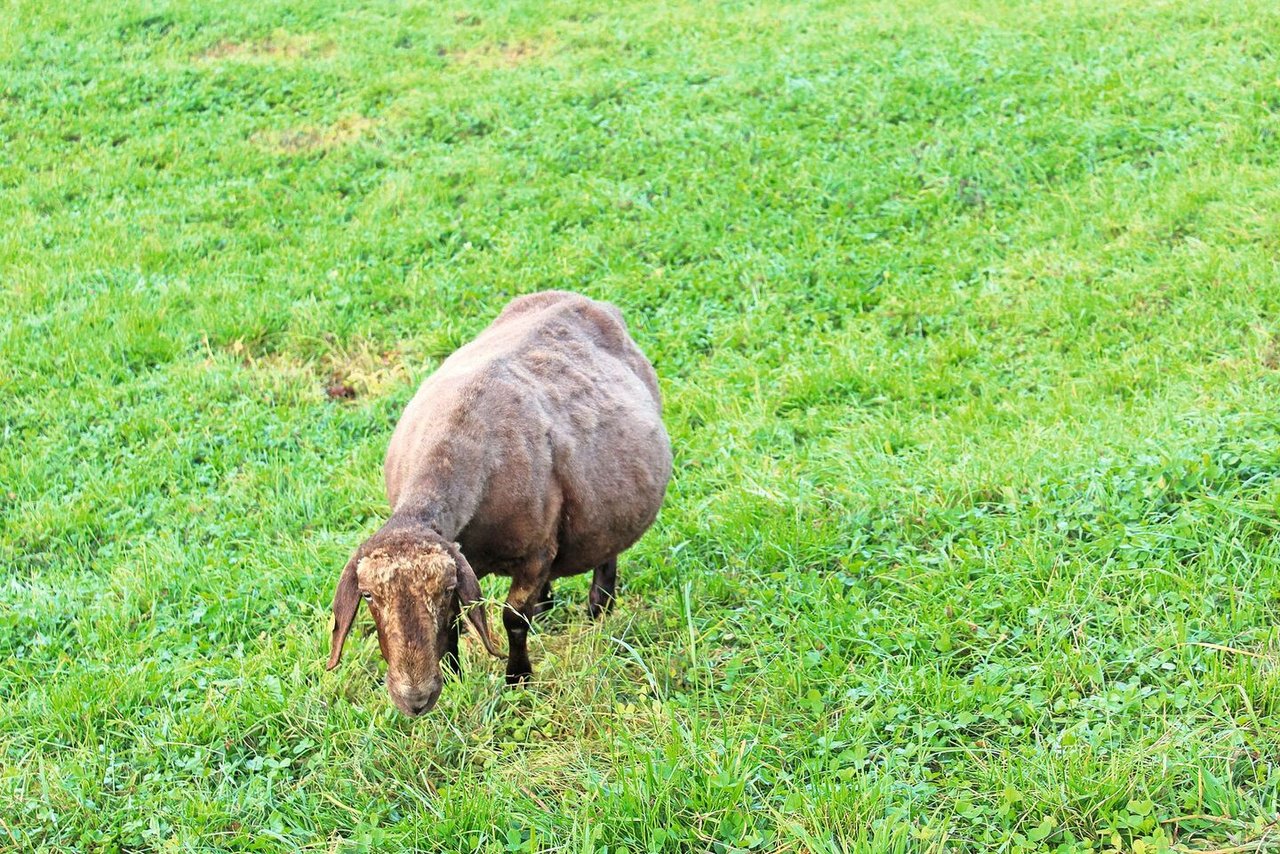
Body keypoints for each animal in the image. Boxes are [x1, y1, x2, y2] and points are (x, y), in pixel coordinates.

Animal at [325, 290, 675, 717]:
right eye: (369, 596)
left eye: (442, 590)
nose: (415, 701)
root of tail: (580, 298)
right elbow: (456, 621)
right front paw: (454, 674)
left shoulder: (535, 553)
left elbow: (513, 618)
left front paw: (518, 678)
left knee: (606, 556)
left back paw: (599, 610)